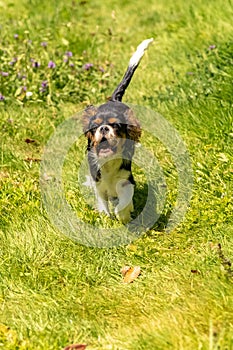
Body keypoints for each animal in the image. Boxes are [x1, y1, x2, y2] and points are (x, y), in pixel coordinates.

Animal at [82, 38, 153, 223]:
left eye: (115, 126)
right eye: (95, 126)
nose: (104, 128)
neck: (108, 162)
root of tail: (114, 100)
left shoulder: (126, 179)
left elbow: (125, 198)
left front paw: (123, 213)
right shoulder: (98, 182)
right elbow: (102, 201)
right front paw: (105, 216)